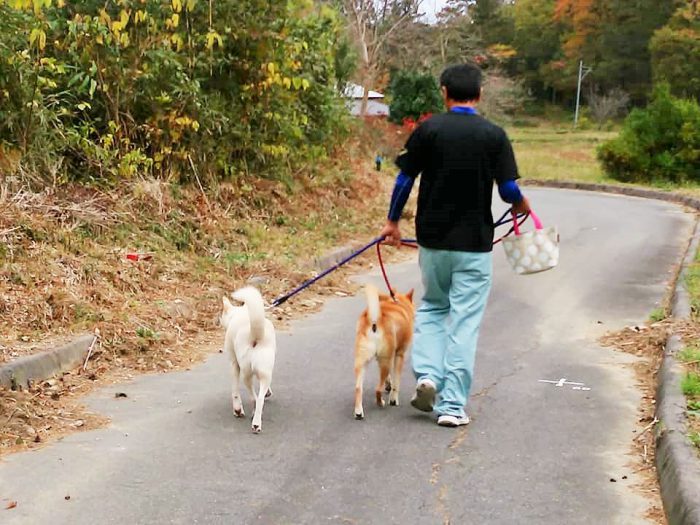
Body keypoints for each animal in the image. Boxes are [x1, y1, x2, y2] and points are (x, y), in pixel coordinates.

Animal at [219, 288, 276, 432]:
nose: (218, 319)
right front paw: (268, 392)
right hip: (265, 372)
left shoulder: (234, 364)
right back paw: (256, 423)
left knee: (254, 398)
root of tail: (256, 335)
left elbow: (235, 391)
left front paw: (237, 409)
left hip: (246, 374)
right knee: (260, 399)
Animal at [352, 284, 412, 420]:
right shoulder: (399, 355)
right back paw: (381, 403)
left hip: (362, 362)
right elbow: (396, 382)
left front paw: (388, 384)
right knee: (377, 389)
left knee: (358, 388)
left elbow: (389, 378)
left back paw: (358, 412)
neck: (397, 304)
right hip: (386, 362)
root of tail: (374, 320)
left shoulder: (382, 357)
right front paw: (393, 399)